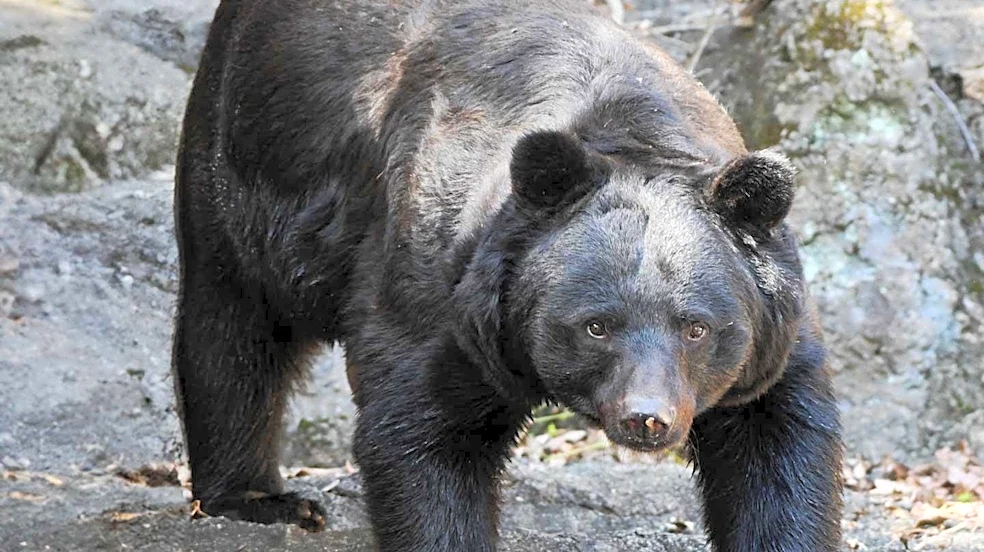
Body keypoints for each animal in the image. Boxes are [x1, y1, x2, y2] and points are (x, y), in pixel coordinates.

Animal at [171, 0, 844, 550]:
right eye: (596, 326)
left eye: (697, 327)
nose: (646, 418)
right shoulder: (444, 286)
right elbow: (423, 431)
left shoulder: (775, 330)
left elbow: (775, 439)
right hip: (243, 170)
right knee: (232, 331)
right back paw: (260, 498)